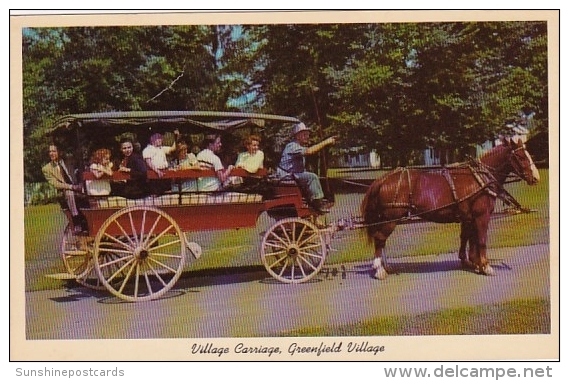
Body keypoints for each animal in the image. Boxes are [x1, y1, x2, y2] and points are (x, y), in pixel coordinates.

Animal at [362, 138, 540, 278]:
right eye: (520, 157)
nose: (536, 177)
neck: (480, 179)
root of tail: (383, 179)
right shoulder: (482, 216)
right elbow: (481, 240)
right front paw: (486, 266)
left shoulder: (469, 218)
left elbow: (469, 239)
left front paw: (474, 263)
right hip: (391, 218)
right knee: (380, 238)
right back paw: (379, 269)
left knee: (382, 240)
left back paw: (386, 266)